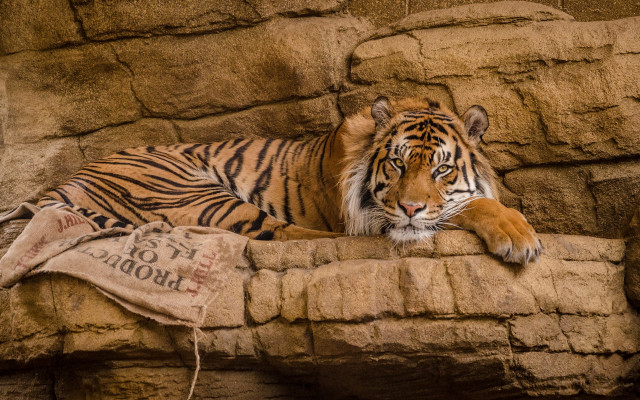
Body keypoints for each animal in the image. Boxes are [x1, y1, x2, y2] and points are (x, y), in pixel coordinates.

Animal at [37, 96, 542, 264]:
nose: (411, 208)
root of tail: (62, 181)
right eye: (397, 165)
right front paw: (519, 236)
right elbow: (469, 205)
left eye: (441, 169)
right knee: (284, 235)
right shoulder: (372, 215)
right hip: (193, 191)